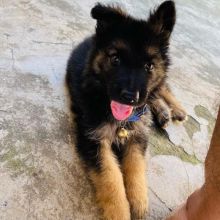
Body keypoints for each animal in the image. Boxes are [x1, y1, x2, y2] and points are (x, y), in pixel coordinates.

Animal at [66, 1, 186, 218]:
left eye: (149, 66)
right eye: (115, 59)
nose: (130, 97)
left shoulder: (138, 135)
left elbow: (136, 165)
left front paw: (138, 200)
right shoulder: (93, 139)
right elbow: (110, 176)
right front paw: (120, 212)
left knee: (162, 88)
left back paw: (177, 110)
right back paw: (163, 114)